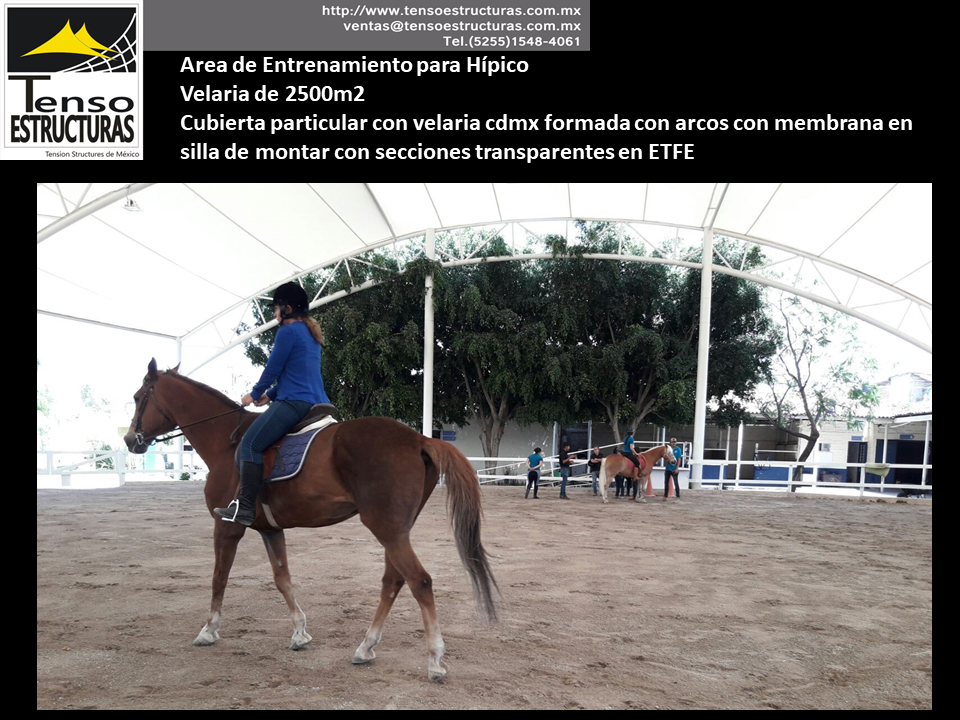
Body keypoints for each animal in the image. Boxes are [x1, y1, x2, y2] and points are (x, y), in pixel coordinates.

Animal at [124, 360, 498, 680]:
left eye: (139, 397)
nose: (130, 440)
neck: (224, 441)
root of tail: (419, 438)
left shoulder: (227, 526)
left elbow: (219, 577)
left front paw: (208, 629)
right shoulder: (270, 529)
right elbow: (282, 579)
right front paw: (300, 633)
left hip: (387, 530)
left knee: (419, 581)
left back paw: (435, 660)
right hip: (395, 531)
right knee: (394, 581)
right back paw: (366, 647)